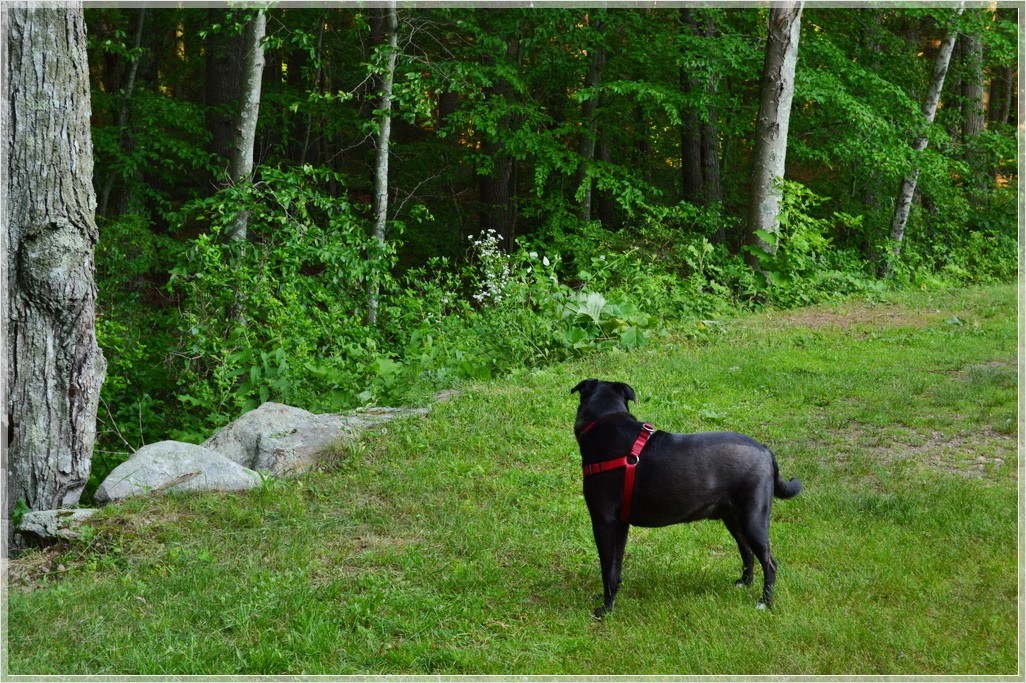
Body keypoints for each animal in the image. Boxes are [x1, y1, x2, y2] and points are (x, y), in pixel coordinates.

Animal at [570, 377, 800, 615]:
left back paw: (765, 602)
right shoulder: (620, 524)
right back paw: (744, 583)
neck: (605, 419)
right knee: (746, 550)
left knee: (770, 562)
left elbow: (607, 569)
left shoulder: (604, 521)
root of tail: (765, 451)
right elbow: (615, 567)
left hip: (753, 518)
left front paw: (606, 609)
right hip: (734, 518)